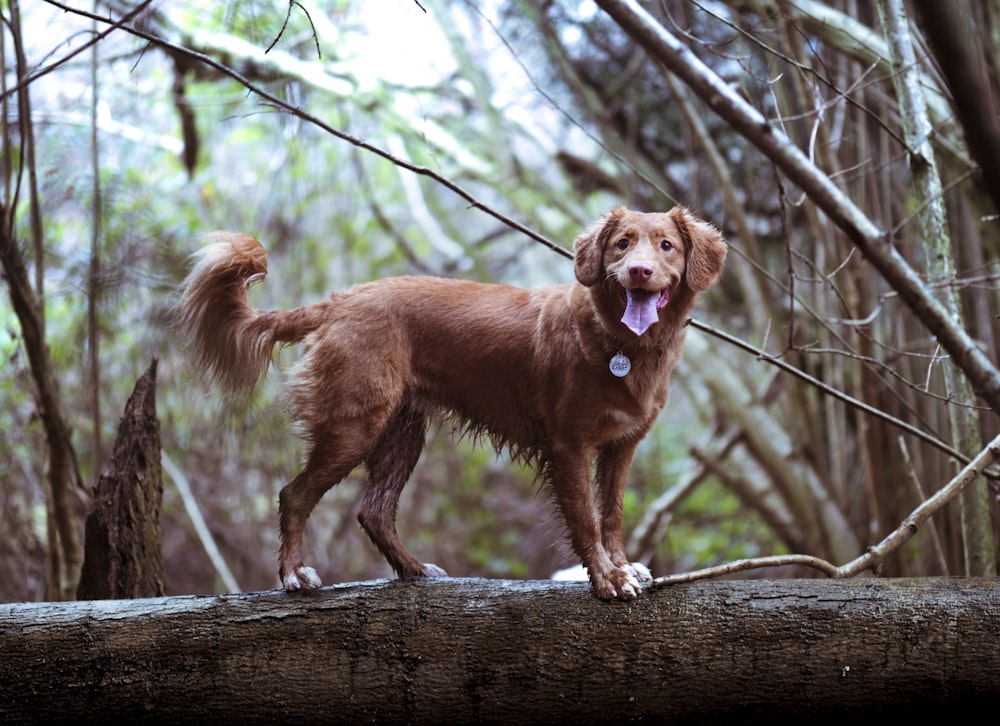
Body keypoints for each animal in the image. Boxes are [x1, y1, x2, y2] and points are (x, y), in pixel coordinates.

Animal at [178, 206, 728, 604]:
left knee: (373, 511)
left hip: (402, 432)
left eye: (666, 245)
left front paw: (621, 565)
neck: (620, 343)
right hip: (355, 424)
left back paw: (413, 569)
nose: (639, 271)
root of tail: (339, 301)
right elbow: (587, 520)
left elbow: (611, 514)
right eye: (622, 243)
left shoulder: (621, 446)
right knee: (294, 495)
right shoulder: (569, 446)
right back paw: (293, 575)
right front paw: (607, 580)